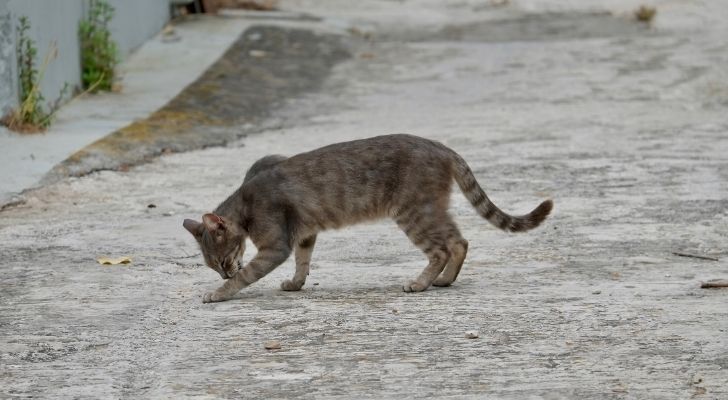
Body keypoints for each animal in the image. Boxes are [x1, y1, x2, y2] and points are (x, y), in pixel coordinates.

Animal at [182, 133, 552, 302]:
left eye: (222, 261)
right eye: (212, 265)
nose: (224, 271)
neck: (246, 199)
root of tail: (441, 146)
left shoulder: (275, 246)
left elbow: (248, 276)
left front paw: (220, 292)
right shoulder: (305, 235)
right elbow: (303, 261)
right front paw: (296, 284)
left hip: (413, 214)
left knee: (442, 248)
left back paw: (420, 283)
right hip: (431, 209)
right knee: (459, 241)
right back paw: (445, 280)